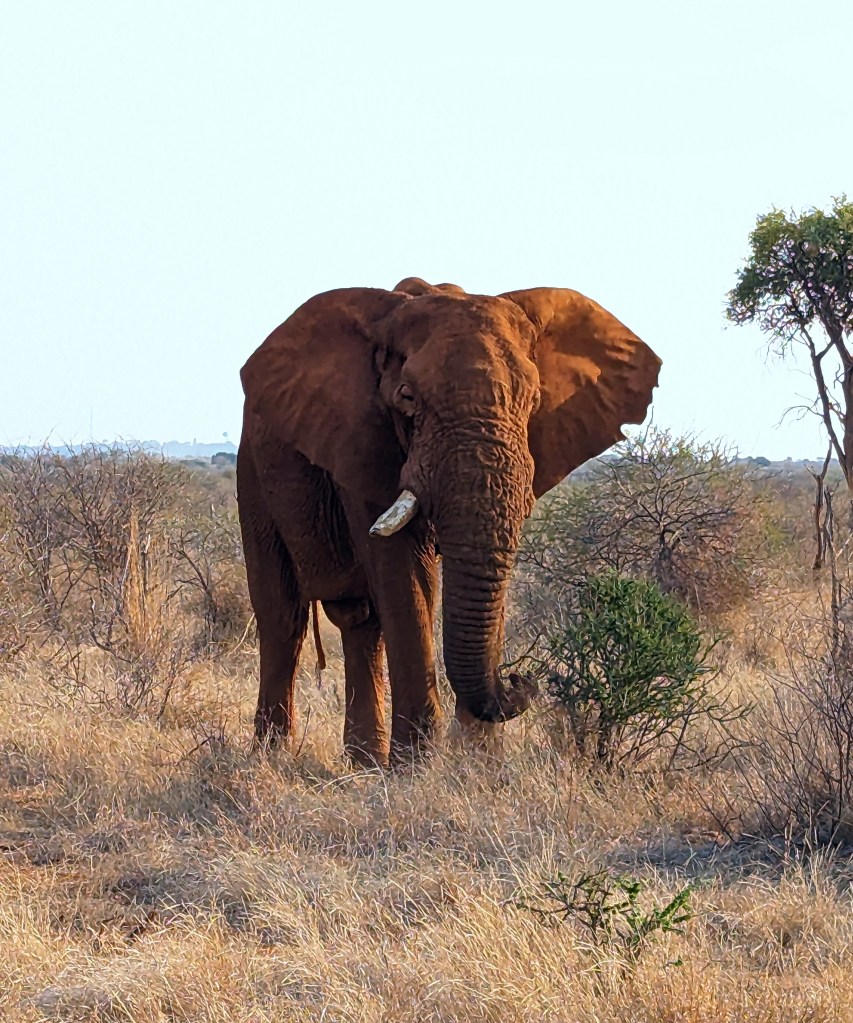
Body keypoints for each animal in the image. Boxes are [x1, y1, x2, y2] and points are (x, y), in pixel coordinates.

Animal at [237, 278, 661, 766]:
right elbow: (403, 574)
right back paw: (271, 756)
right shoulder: (364, 442)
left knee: (362, 623)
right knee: (281, 615)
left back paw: (363, 764)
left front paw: (482, 765)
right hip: (252, 468)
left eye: (535, 400)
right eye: (407, 398)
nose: (520, 680)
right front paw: (416, 769)